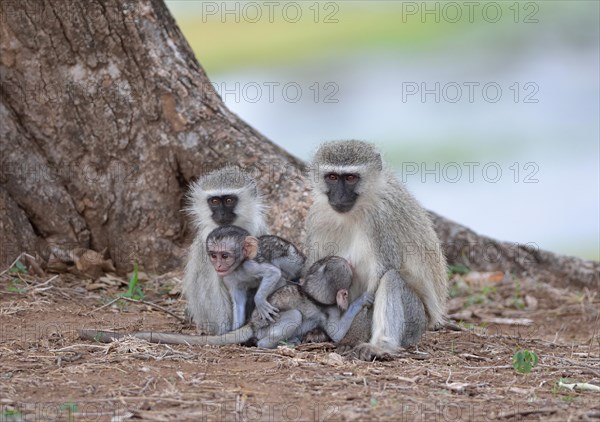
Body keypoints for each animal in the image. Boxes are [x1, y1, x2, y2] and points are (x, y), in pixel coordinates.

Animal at [77, 256, 372, 348]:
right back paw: (272, 344)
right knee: (292, 319)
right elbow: (337, 332)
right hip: (268, 327)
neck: (312, 294)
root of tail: (251, 324)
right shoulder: (328, 310)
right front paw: (361, 300)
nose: (349, 263)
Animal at [304, 141, 446, 360]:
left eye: (351, 178)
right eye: (332, 177)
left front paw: (351, 338)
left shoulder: (382, 219)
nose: (340, 196)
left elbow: (380, 276)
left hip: (415, 321)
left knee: (391, 278)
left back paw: (379, 347)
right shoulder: (317, 217)